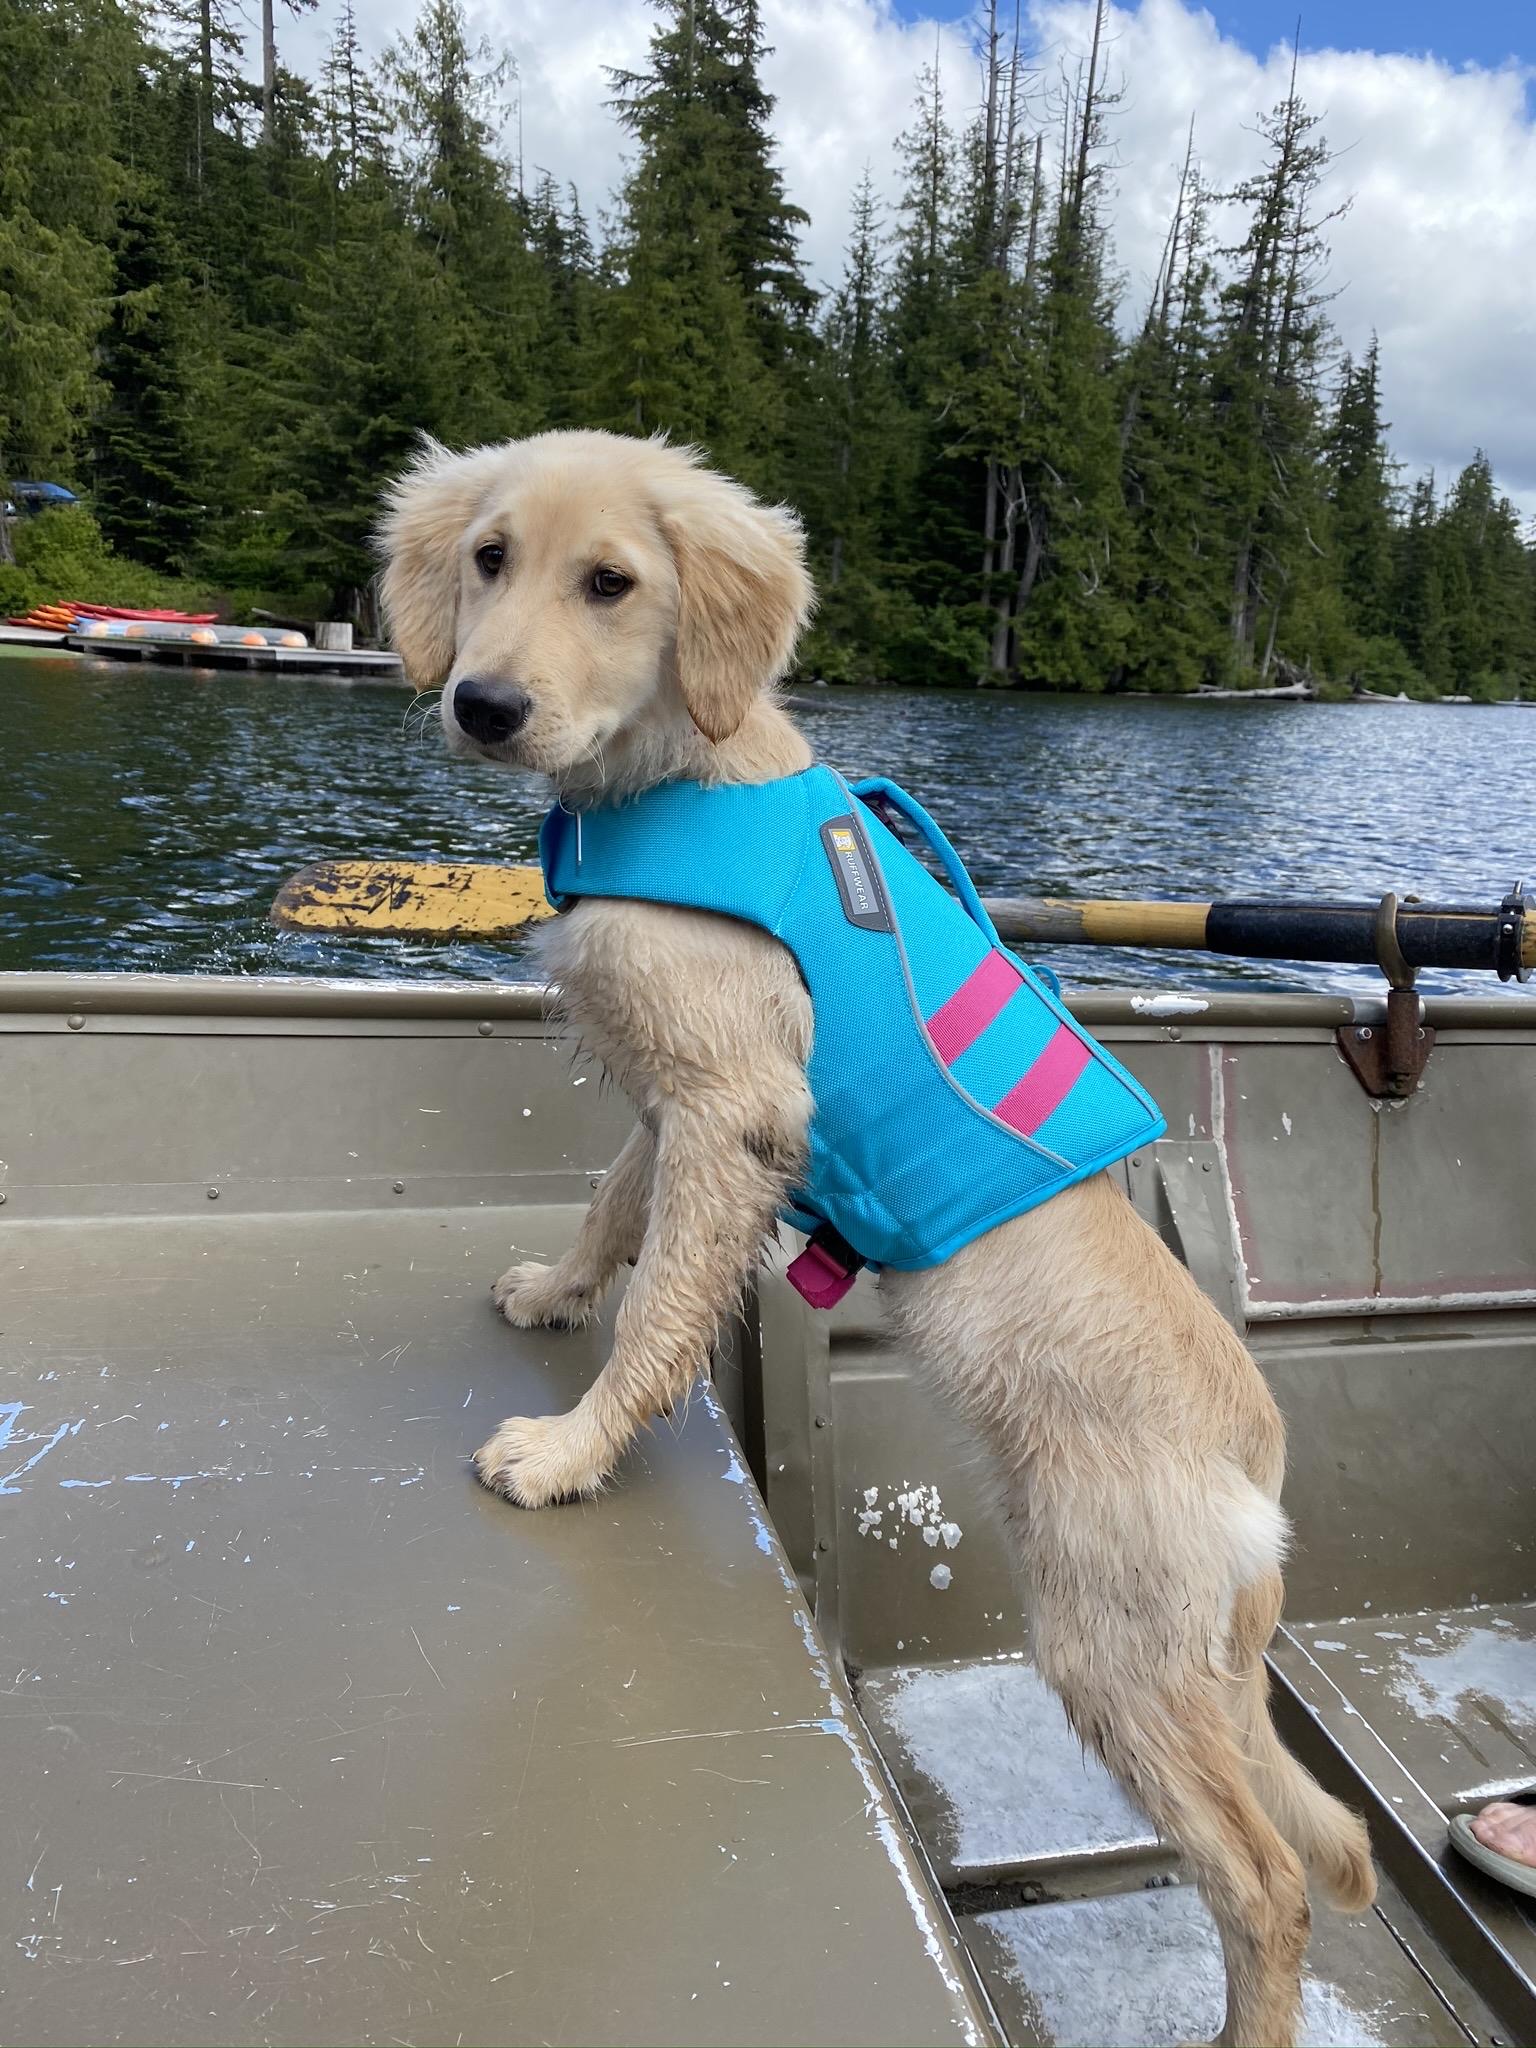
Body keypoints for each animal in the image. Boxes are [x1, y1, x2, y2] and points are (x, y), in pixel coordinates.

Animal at [379, 427, 1375, 2048]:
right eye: (487, 558)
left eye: (613, 582)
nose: (484, 705)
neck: (676, 773)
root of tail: (1260, 1465)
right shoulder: (684, 1103)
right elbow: (611, 1207)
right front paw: (553, 1289)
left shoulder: (731, 1109)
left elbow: (659, 1313)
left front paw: (573, 1450)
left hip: (1114, 1648)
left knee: (1270, 1880)